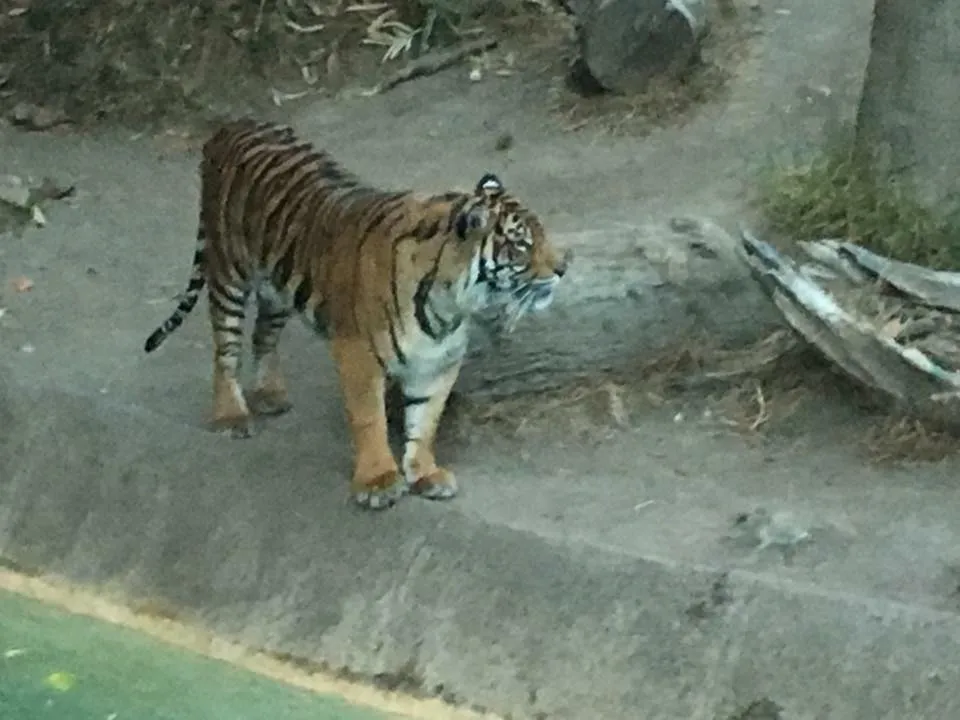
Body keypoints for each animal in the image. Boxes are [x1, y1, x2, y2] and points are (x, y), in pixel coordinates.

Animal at [142, 118, 568, 510]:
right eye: (521, 244)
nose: (564, 266)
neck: (450, 302)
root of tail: (232, 124)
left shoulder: (438, 361)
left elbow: (425, 420)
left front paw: (425, 474)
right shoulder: (357, 353)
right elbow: (370, 418)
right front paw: (378, 482)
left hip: (278, 286)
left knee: (263, 333)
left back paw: (270, 394)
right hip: (229, 273)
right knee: (225, 347)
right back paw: (231, 416)